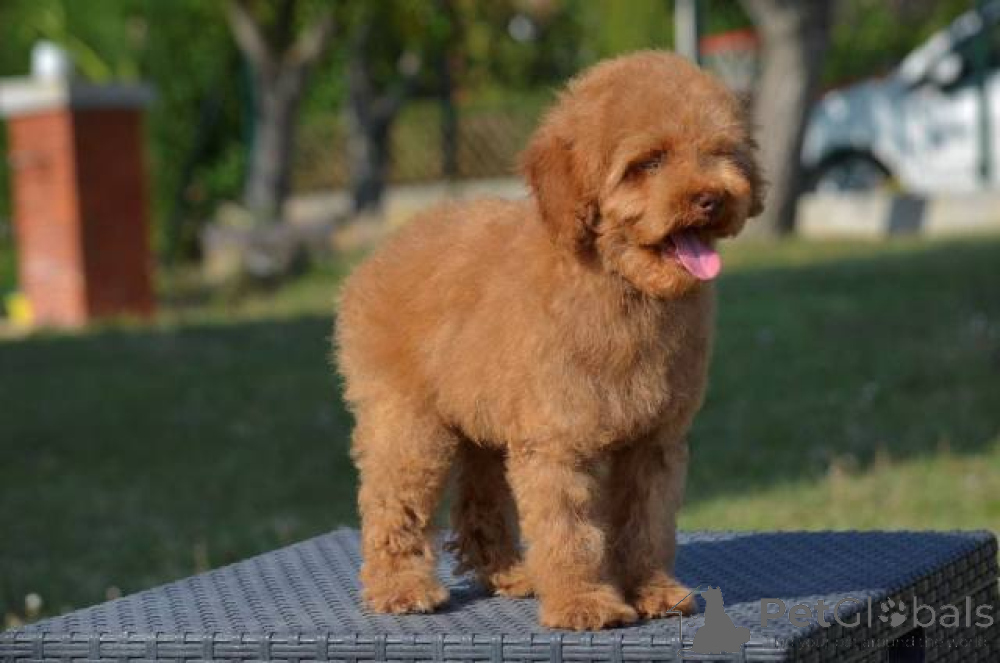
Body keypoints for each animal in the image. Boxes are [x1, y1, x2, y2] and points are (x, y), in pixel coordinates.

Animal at [335, 50, 764, 630]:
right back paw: (400, 588)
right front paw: (585, 603)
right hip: (407, 420)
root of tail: (384, 251)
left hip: (482, 421)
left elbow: (647, 523)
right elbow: (570, 528)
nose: (711, 199)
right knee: (392, 501)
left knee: (480, 501)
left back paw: (511, 574)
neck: (619, 284)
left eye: (721, 153)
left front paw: (652, 591)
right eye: (648, 163)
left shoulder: (652, 441)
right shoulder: (558, 438)